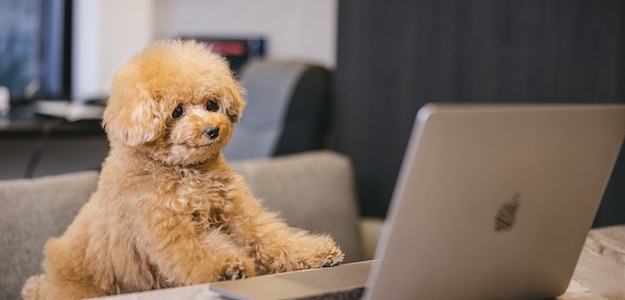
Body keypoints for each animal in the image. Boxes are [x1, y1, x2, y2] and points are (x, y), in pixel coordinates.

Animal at [22, 39, 344, 300]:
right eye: (176, 111)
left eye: (211, 104)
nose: (212, 130)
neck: (186, 173)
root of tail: (43, 283)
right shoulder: (169, 229)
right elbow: (197, 252)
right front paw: (228, 268)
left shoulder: (239, 213)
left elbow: (270, 237)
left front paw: (318, 254)